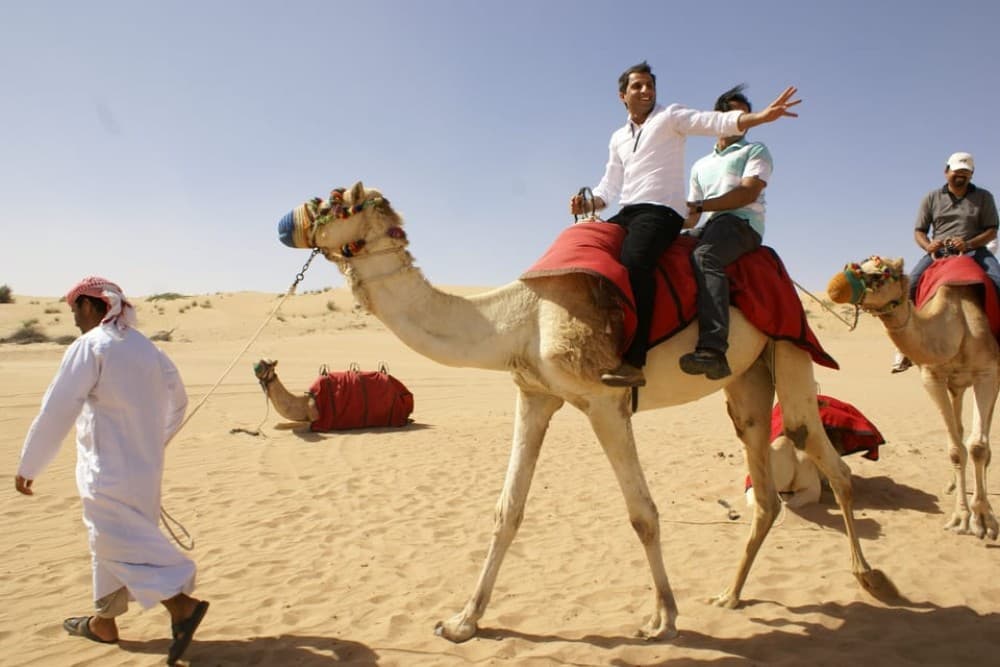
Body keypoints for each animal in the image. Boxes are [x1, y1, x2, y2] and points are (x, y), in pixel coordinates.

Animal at [275, 181, 888, 642]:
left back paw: (869, 577)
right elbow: (507, 511)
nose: (285, 223)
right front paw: (462, 621)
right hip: (746, 382)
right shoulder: (534, 394)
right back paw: (730, 594)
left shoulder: (603, 399)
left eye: (336, 202)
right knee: (764, 487)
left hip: (789, 347)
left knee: (823, 452)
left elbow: (642, 513)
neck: (518, 318)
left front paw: (663, 618)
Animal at [827, 256, 998, 540]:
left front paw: (982, 520)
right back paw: (953, 485)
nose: (835, 285)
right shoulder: (932, 377)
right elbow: (956, 449)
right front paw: (961, 517)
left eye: (884, 272)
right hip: (957, 386)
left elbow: (977, 447)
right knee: (959, 430)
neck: (958, 325)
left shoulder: (987, 373)